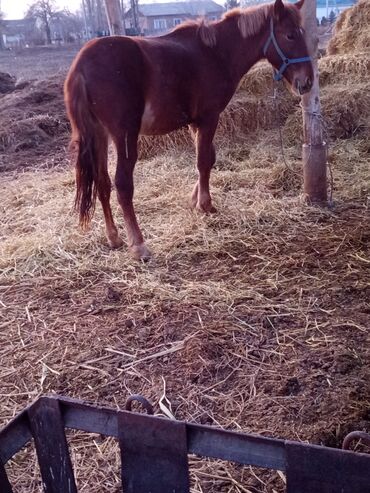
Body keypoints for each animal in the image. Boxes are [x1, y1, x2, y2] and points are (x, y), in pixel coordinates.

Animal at [63, 0, 312, 260]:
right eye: (290, 35)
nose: (307, 82)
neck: (216, 53)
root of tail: (81, 65)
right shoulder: (209, 118)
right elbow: (203, 161)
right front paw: (205, 204)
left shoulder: (195, 122)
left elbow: (208, 158)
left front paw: (194, 199)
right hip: (124, 137)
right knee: (122, 185)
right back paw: (139, 244)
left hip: (99, 136)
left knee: (102, 183)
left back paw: (114, 237)